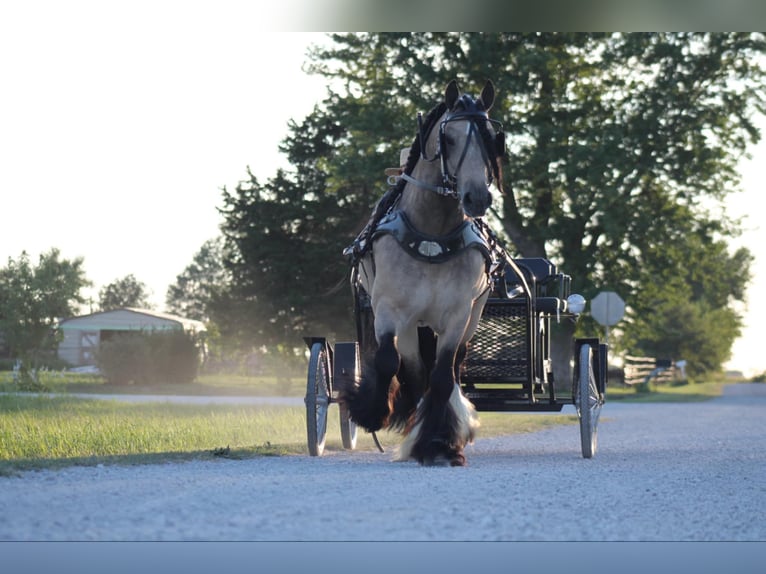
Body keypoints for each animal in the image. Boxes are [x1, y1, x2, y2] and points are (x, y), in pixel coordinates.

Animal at [346, 81, 504, 468]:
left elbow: (444, 377)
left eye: (491, 137)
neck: (433, 233)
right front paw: (372, 413)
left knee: (452, 369)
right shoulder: (390, 310)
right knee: (415, 371)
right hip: (409, 325)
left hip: (471, 317)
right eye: (448, 138)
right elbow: (389, 362)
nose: (477, 198)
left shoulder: (458, 315)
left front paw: (440, 443)